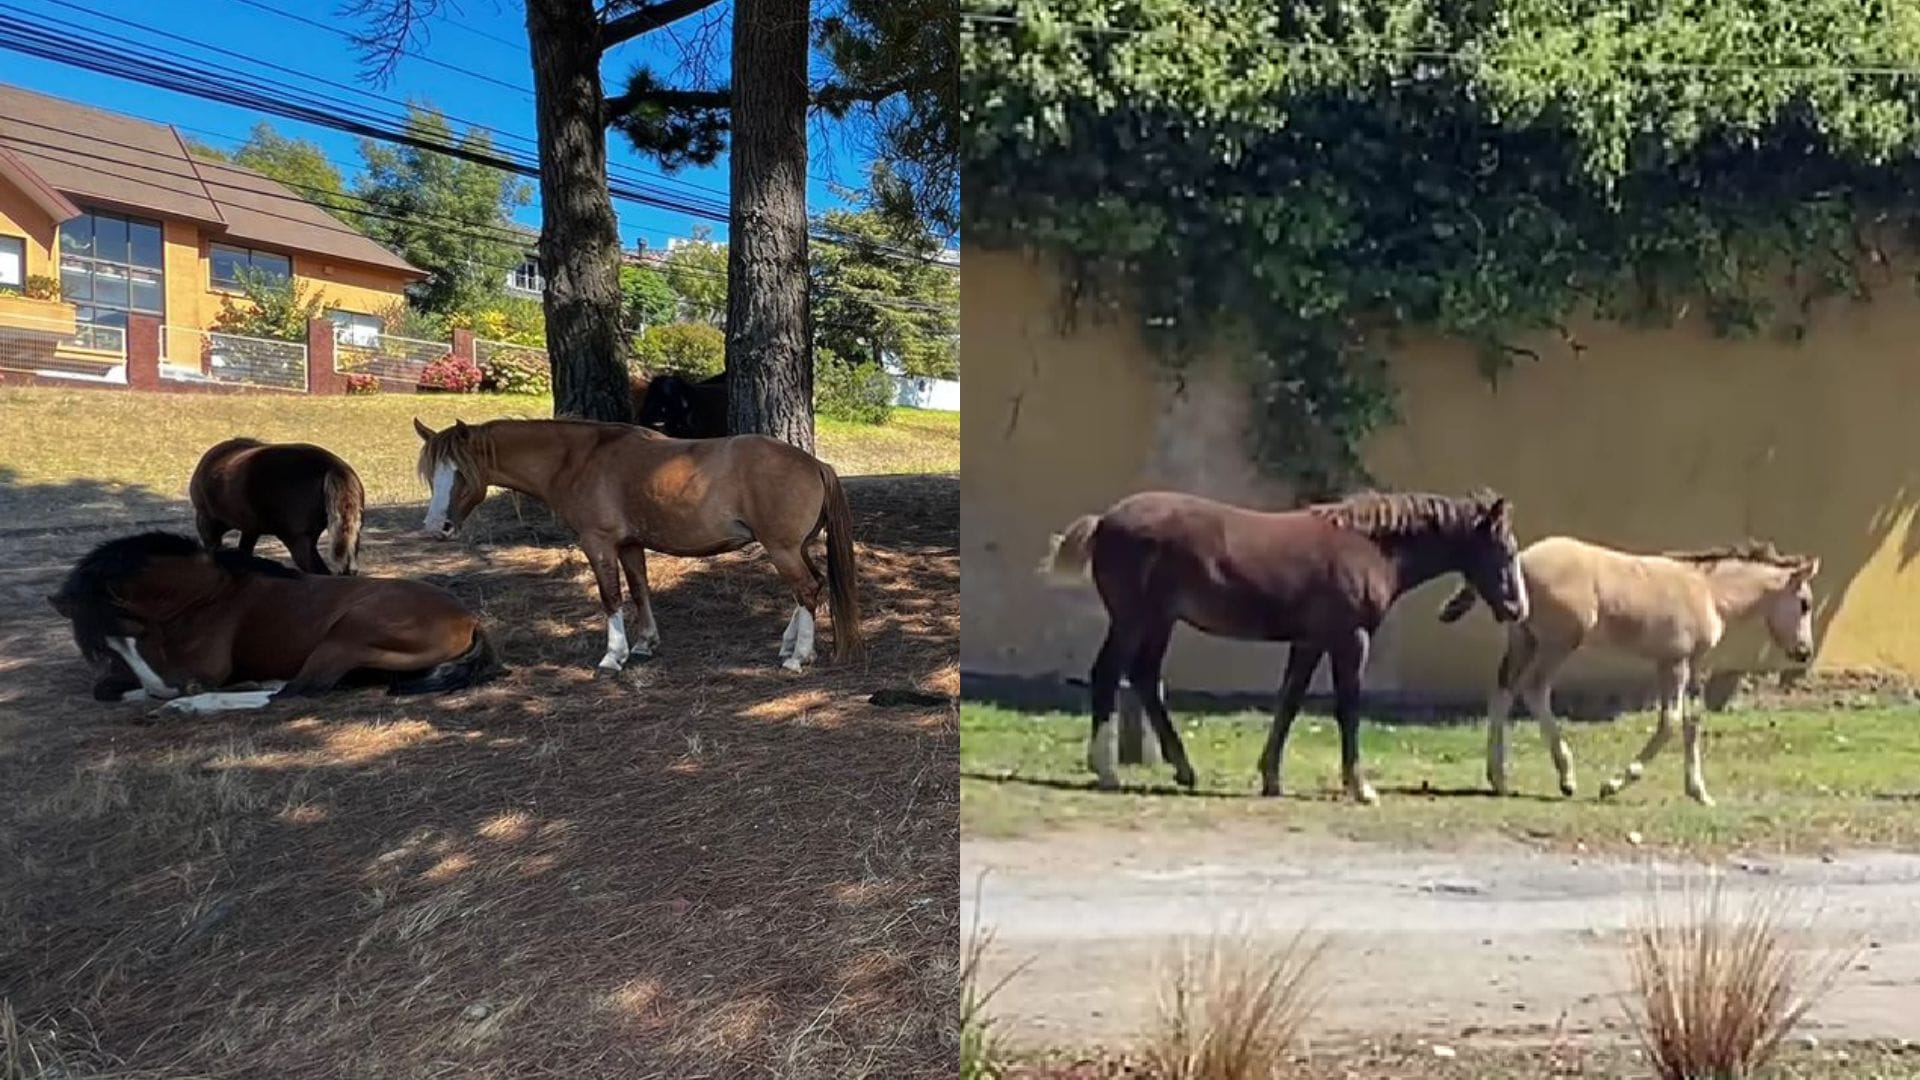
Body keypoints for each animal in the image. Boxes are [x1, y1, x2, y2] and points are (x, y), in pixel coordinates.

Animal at [46, 531, 504, 715]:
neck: (211, 594)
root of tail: (468, 620)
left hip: (347, 633)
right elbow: (106, 688)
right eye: (101, 648)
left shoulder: (200, 668)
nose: (162, 691)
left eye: (139, 632)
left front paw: (175, 698)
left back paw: (191, 706)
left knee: (296, 692)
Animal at [412, 416, 861, 674]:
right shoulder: (630, 545)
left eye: (462, 473)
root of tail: (814, 464)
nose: (436, 527)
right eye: (433, 474)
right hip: (794, 548)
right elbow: (639, 589)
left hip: (782, 549)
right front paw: (645, 643)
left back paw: (798, 657)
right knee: (810, 588)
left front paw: (614, 656)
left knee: (806, 590)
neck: (579, 459)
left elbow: (611, 597)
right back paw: (793, 646)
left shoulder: (598, 543)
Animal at [1040, 490, 1530, 802]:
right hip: (1134, 619)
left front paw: (1271, 778)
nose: (1517, 608)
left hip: (1159, 621)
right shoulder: (1350, 640)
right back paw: (1107, 770)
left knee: (1144, 678)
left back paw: (1183, 770)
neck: (1368, 547)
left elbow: (1289, 702)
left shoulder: (1309, 642)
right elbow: (1347, 708)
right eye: (1504, 550)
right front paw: (1361, 788)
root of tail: (1104, 521)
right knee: (1109, 673)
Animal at [1437, 537, 1817, 806]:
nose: (1804, 652)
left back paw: (1499, 779)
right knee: (1534, 689)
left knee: (1503, 690)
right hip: (1559, 642)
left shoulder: (1690, 665)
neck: (1708, 591)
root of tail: (1523, 559)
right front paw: (1614, 784)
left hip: (1523, 638)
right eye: (1804, 604)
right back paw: (1566, 777)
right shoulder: (1675, 664)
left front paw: (1699, 793)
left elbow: (1692, 722)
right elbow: (1670, 721)